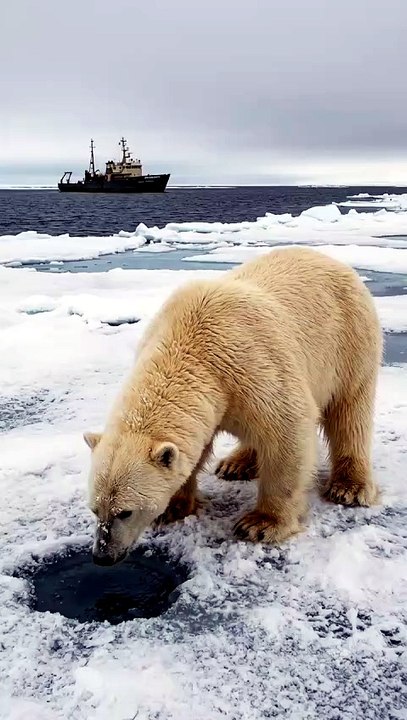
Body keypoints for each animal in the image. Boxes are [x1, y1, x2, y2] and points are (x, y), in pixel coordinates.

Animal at [84, 246, 382, 565]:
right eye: (95, 509)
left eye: (125, 512)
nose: (102, 555)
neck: (189, 345)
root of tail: (332, 260)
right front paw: (174, 506)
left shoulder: (252, 365)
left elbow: (288, 429)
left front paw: (261, 524)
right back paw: (235, 464)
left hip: (349, 343)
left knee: (350, 412)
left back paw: (349, 487)